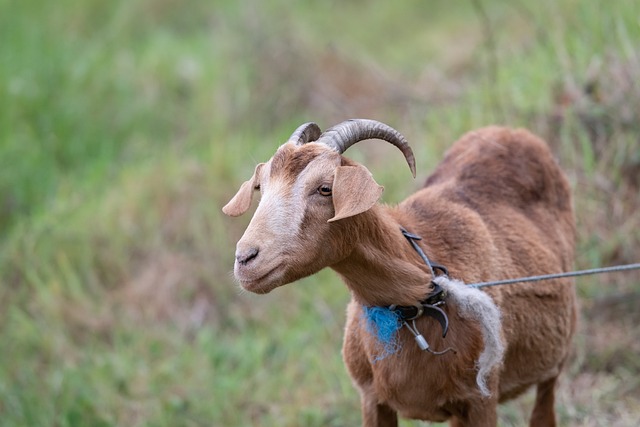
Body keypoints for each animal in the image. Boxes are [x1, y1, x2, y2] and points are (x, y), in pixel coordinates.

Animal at [222, 118, 576, 426]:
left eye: (325, 188)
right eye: (261, 187)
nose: (246, 258)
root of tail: (509, 131)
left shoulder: (481, 399)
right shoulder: (372, 399)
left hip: (554, 365)